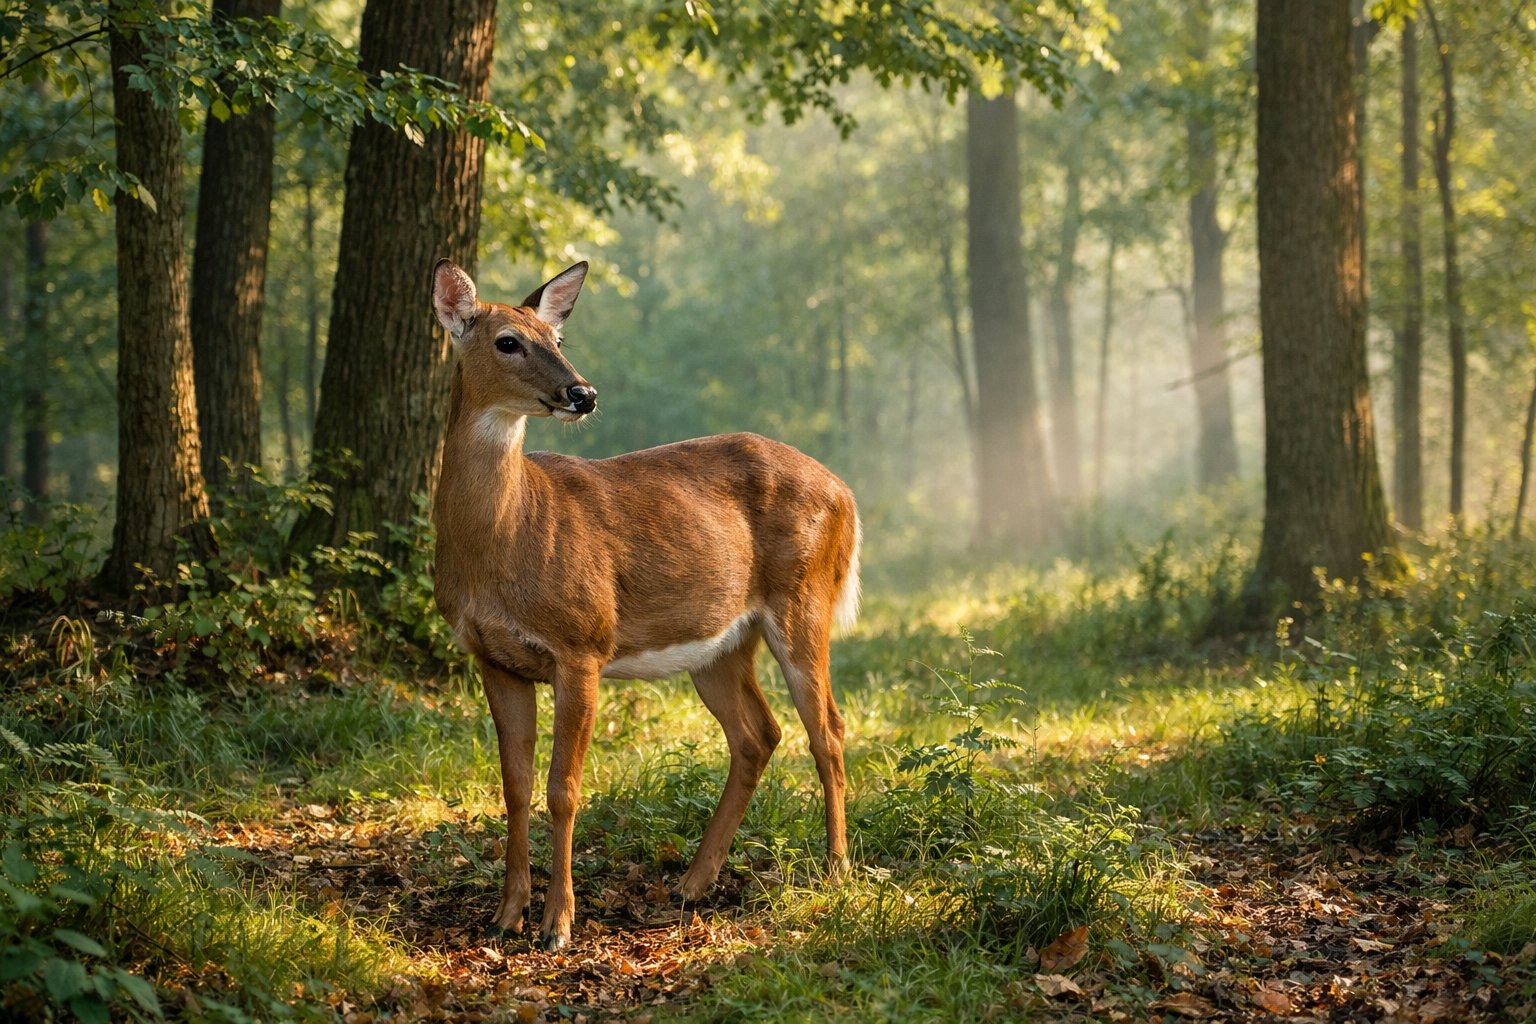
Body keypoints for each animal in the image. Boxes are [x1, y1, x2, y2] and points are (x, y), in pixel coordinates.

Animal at [430, 258, 861, 951]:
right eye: (507, 341)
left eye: (558, 338)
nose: (582, 393)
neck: (502, 540)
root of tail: (846, 491)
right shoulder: (493, 657)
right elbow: (514, 787)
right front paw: (504, 916)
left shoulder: (582, 643)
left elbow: (564, 788)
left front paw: (558, 925)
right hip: (720, 645)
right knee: (758, 734)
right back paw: (693, 883)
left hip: (805, 601)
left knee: (828, 730)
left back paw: (837, 871)